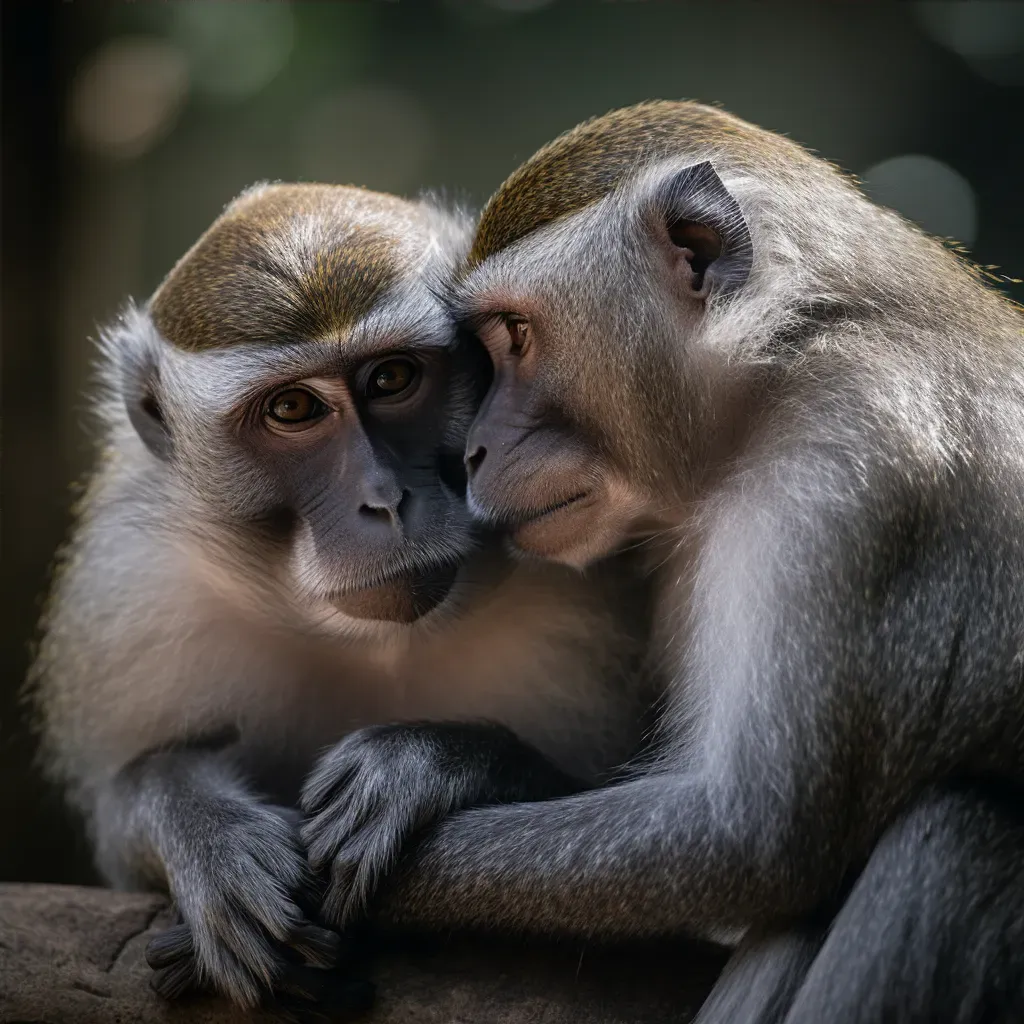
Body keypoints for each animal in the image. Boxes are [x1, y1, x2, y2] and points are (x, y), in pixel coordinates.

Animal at [25, 182, 655, 1007]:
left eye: (391, 378)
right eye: (293, 409)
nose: (383, 500)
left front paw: (429, 761)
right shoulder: (131, 590)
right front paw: (204, 828)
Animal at [296, 97, 1024, 1024]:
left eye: (516, 335)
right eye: (487, 351)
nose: (474, 452)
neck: (786, 365)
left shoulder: (855, 467)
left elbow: (747, 841)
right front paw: (458, 762)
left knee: (955, 835)